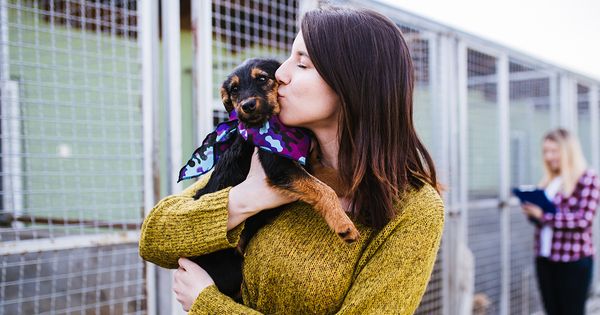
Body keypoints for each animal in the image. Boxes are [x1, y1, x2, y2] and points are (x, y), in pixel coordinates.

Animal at [183, 58, 358, 300]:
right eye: (234, 89)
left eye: (263, 78)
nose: (246, 105)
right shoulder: (280, 166)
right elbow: (324, 189)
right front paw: (344, 224)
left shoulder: (307, 163)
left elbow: (333, 177)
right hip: (229, 270)